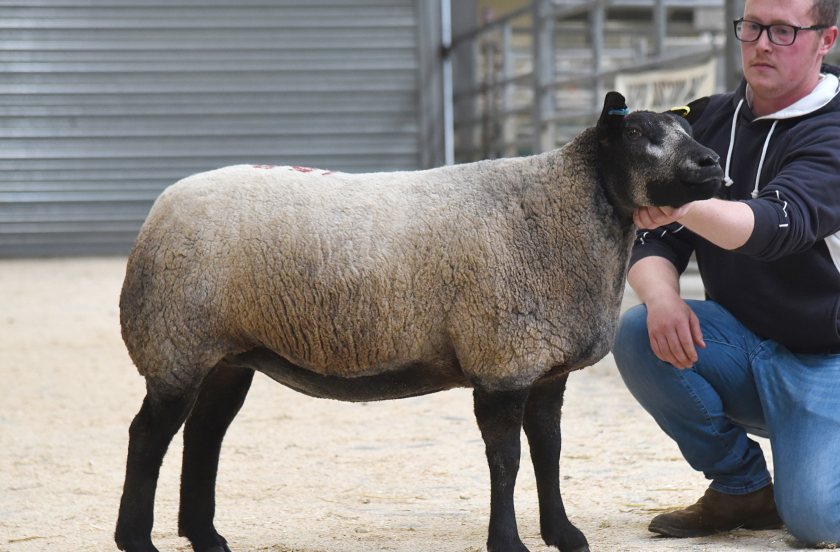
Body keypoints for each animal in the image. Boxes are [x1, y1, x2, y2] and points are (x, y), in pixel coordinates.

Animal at [113, 91, 720, 552]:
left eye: (683, 128)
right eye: (639, 132)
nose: (712, 164)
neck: (557, 208)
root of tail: (163, 205)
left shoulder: (546, 366)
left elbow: (549, 452)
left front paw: (564, 535)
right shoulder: (501, 359)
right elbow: (506, 459)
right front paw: (508, 542)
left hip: (227, 355)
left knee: (204, 435)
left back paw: (207, 537)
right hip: (176, 343)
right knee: (148, 436)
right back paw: (136, 540)